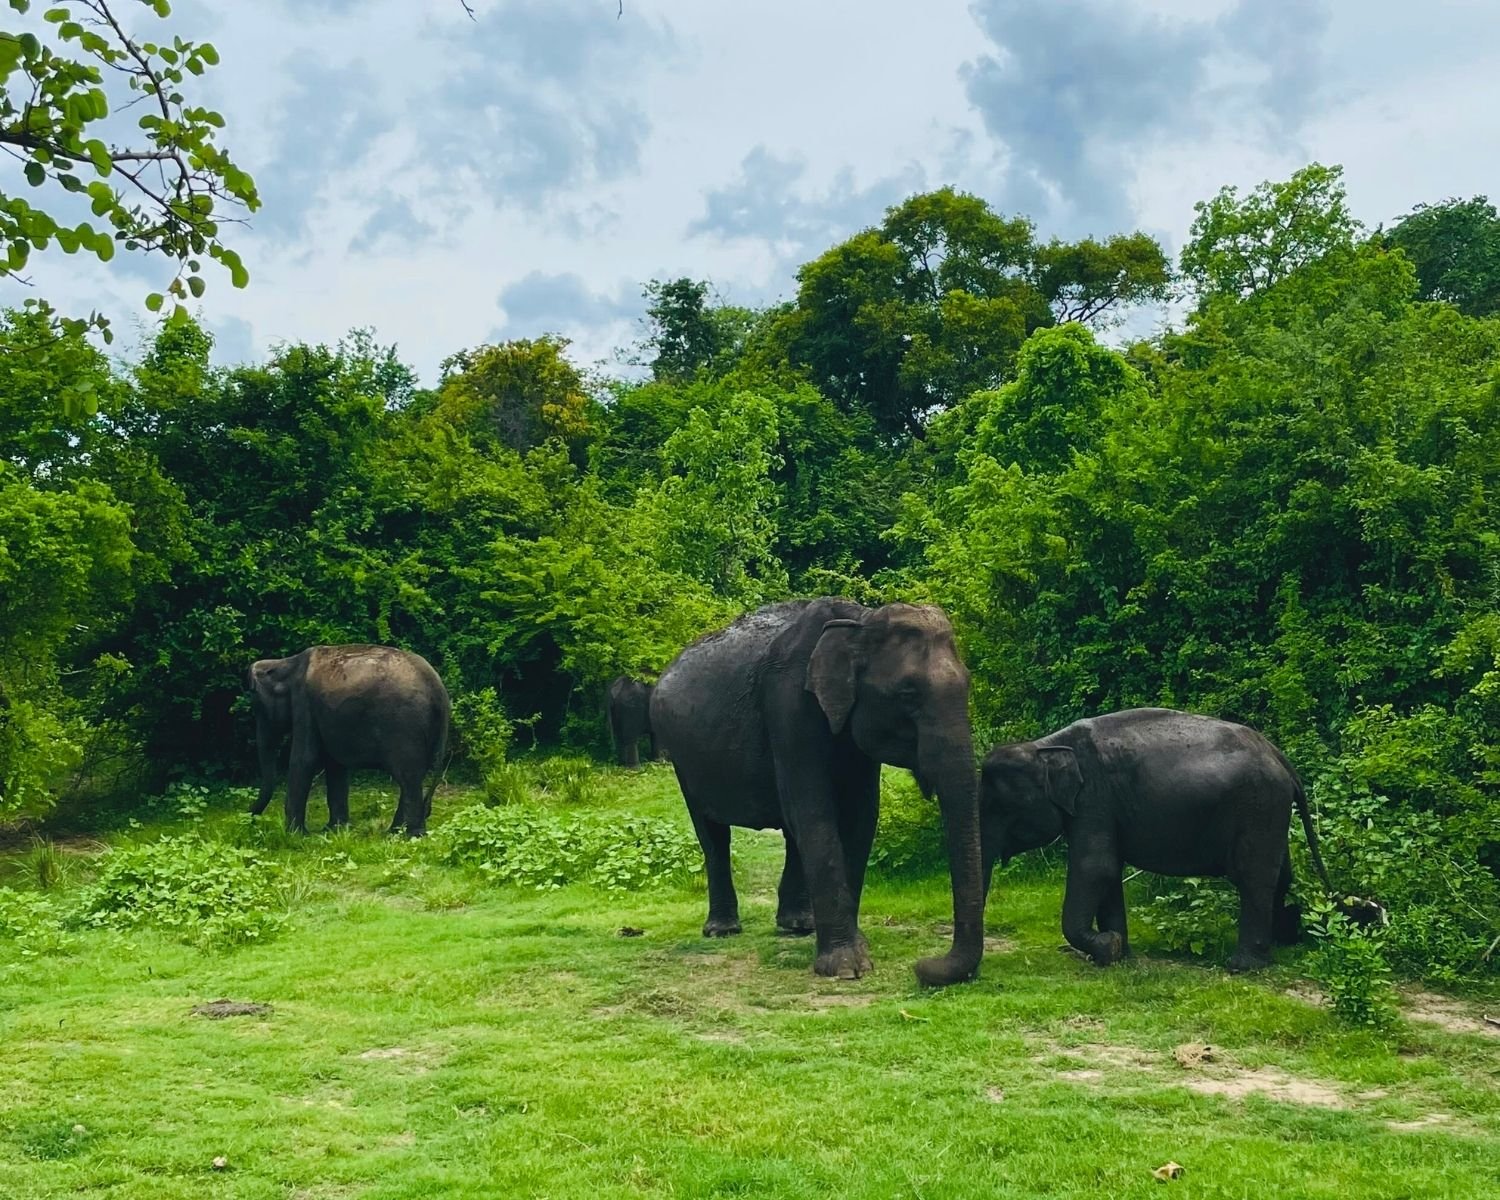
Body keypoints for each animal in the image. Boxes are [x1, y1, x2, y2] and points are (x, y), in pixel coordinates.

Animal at [248, 644, 451, 837]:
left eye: (258, 707)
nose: (251, 817)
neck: (285, 663)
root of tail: (438, 687)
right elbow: (335, 765)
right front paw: (334, 831)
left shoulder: (304, 703)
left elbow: (305, 759)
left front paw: (296, 835)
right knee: (414, 777)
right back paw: (396, 832)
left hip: (405, 726)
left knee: (407, 777)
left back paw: (408, 835)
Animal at [650, 598, 985, 986]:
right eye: (907, 693)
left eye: (968, 686)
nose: (921, 966)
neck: (861, 622)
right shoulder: (787, 704)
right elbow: (815, 812)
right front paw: (846, 968)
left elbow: (860, 817)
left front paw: (856, 948)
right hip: (682, 758)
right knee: (713, 834)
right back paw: (723, 931)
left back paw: (799, 926)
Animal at [980, 707, 1361, 972]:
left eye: (1000, 808)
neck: (1045, 746)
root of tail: (1280, 756)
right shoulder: (1102, 808)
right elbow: (1108, 872)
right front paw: (1117, 954)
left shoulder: (1094, 801)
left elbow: (1095, 868)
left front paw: (1108, 948)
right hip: (1270, 810)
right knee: (1282, 874)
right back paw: (1285, 946)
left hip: (1259, 804)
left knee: (1253, 877)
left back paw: (1243, 967)